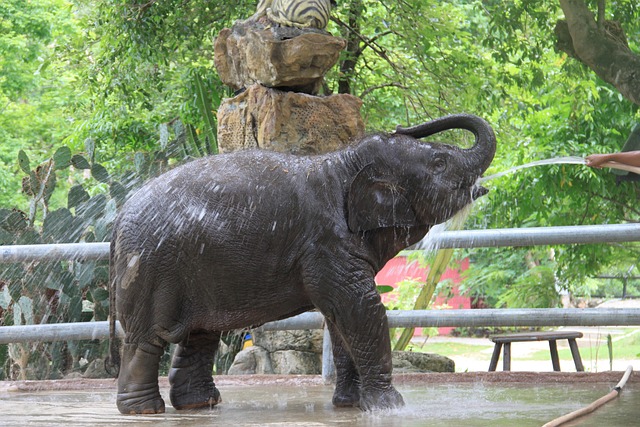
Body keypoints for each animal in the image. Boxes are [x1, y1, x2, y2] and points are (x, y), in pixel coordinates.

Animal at [108, 113, 496, 415]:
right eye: (439, 163)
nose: (401, 125)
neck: (343, 160)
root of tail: (119, 218)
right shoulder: (325, 242)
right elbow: (361, 307)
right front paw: (390, 408)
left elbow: (341, 318)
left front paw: (352, 405)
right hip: (150, 266)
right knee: (147, 339)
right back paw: (145, 410)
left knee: (200, 334)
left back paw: (199, 405)